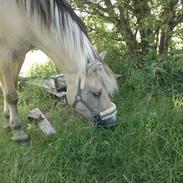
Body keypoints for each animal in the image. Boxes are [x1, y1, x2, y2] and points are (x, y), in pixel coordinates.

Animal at [0, 0, 118, 142]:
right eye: (96, 93)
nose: (112, 122)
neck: (21, 16)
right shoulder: (5, 56)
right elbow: (11, 95)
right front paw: (18, 132)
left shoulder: (19, 56)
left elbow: (10, 88)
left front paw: (7, 121)